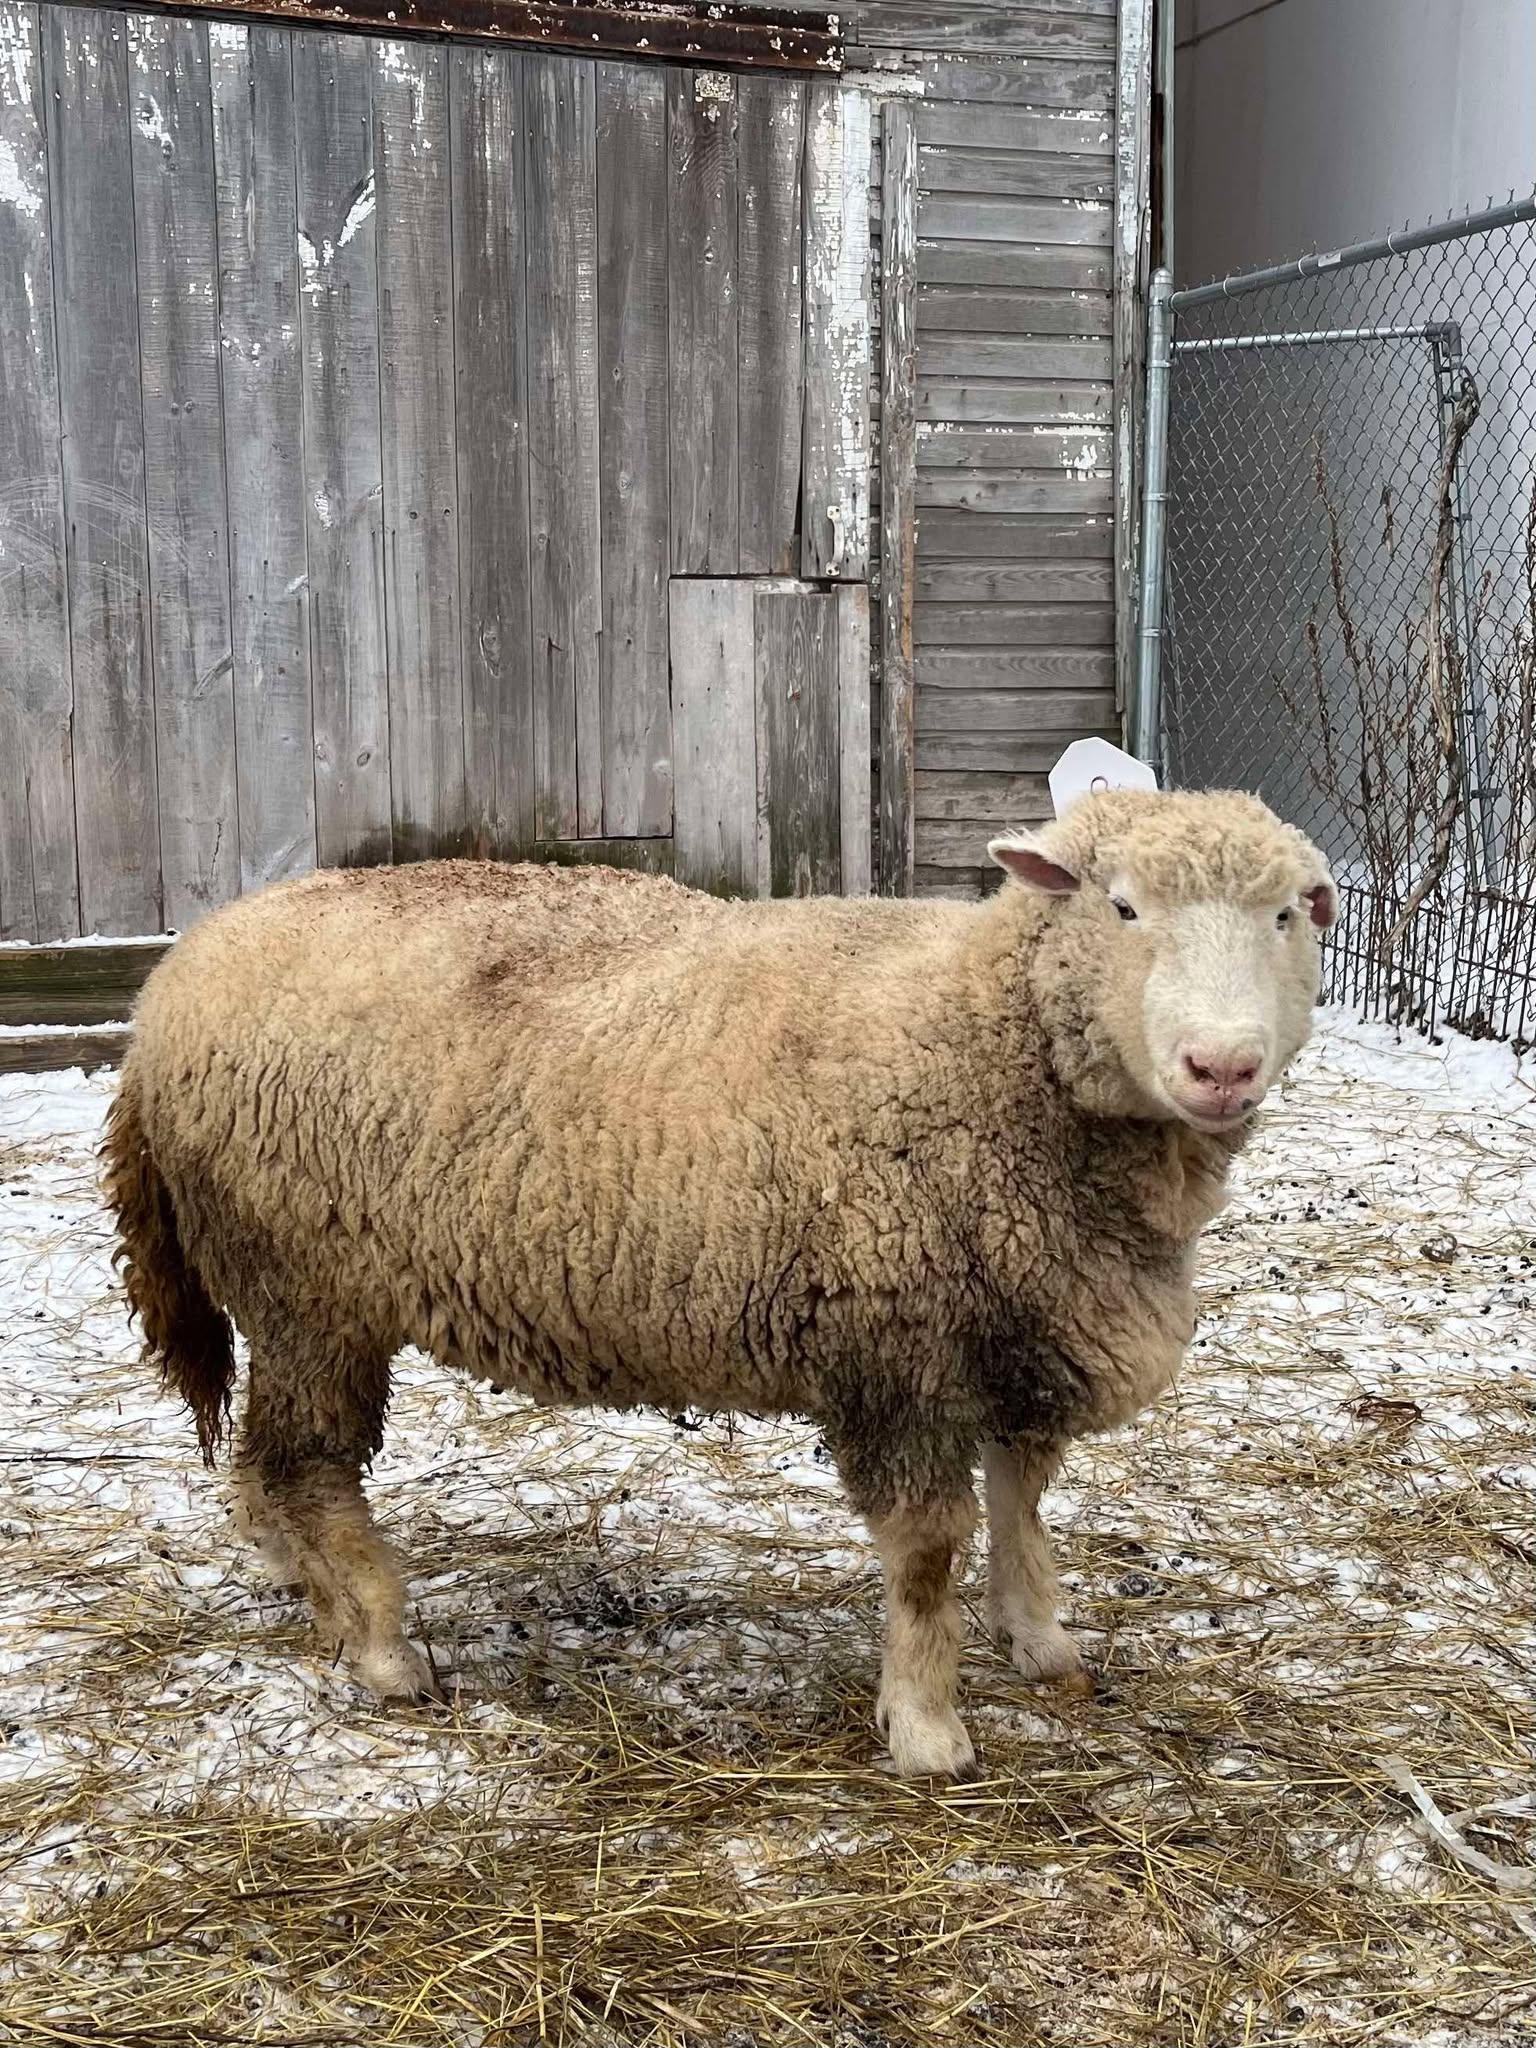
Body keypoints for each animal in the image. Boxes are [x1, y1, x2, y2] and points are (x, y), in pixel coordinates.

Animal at [103, 788, 1336, 1779]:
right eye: (1120, 908)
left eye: (1287, 915)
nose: (1222, 1066)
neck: (990, 1038)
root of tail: (169, 985)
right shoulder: (899, 1347)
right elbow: (928, 1551)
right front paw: (927, 1726)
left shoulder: (1019, 1322)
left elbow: (1021, 1500)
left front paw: (1040, 1642)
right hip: (310, 1285)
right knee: (310, 1465)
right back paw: (379, 1641)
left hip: (284, 1292)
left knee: (266, 1457)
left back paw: (295, 1577)